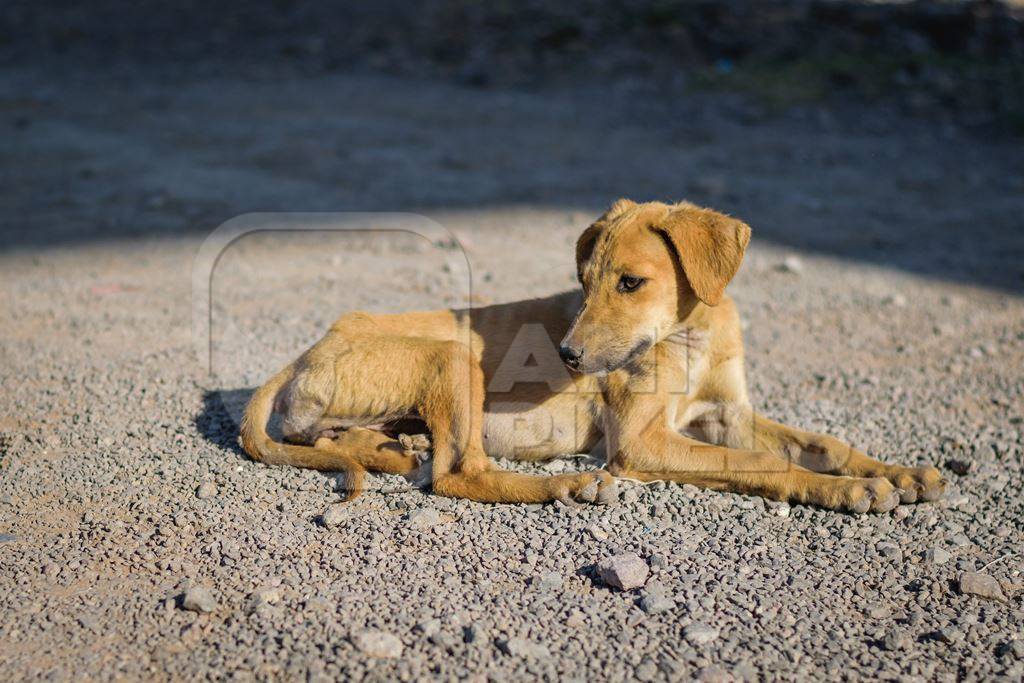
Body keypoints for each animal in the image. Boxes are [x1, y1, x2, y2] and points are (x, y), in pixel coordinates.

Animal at [239, 200, 942, 509]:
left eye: (630, 282)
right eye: (583, 281)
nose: (569, 356)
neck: (688, 338)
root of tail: (309, 347)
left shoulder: (729, 414)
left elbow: (823, 442)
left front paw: (897, 472)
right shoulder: (642, 443)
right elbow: (758, 463)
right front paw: (847, 492)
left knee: (345, 442)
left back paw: (392, 446)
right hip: (451, 359)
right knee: (459, 474)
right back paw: (568, 483)